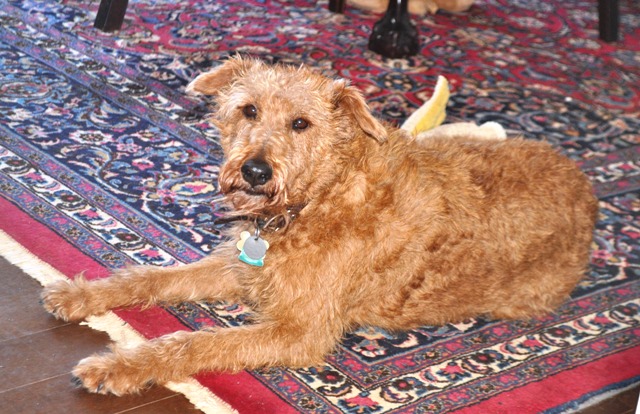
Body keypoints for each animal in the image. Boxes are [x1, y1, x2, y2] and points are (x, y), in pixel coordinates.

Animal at [41, 56, 600, 396]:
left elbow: (196, 343)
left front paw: (116, 366)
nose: (256, 171)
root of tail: (587, 191)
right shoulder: (240, 267)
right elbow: (151, 276)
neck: (317, 199)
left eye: (301, 123)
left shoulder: (300, 332)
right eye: (249, 110)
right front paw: (81, 294)